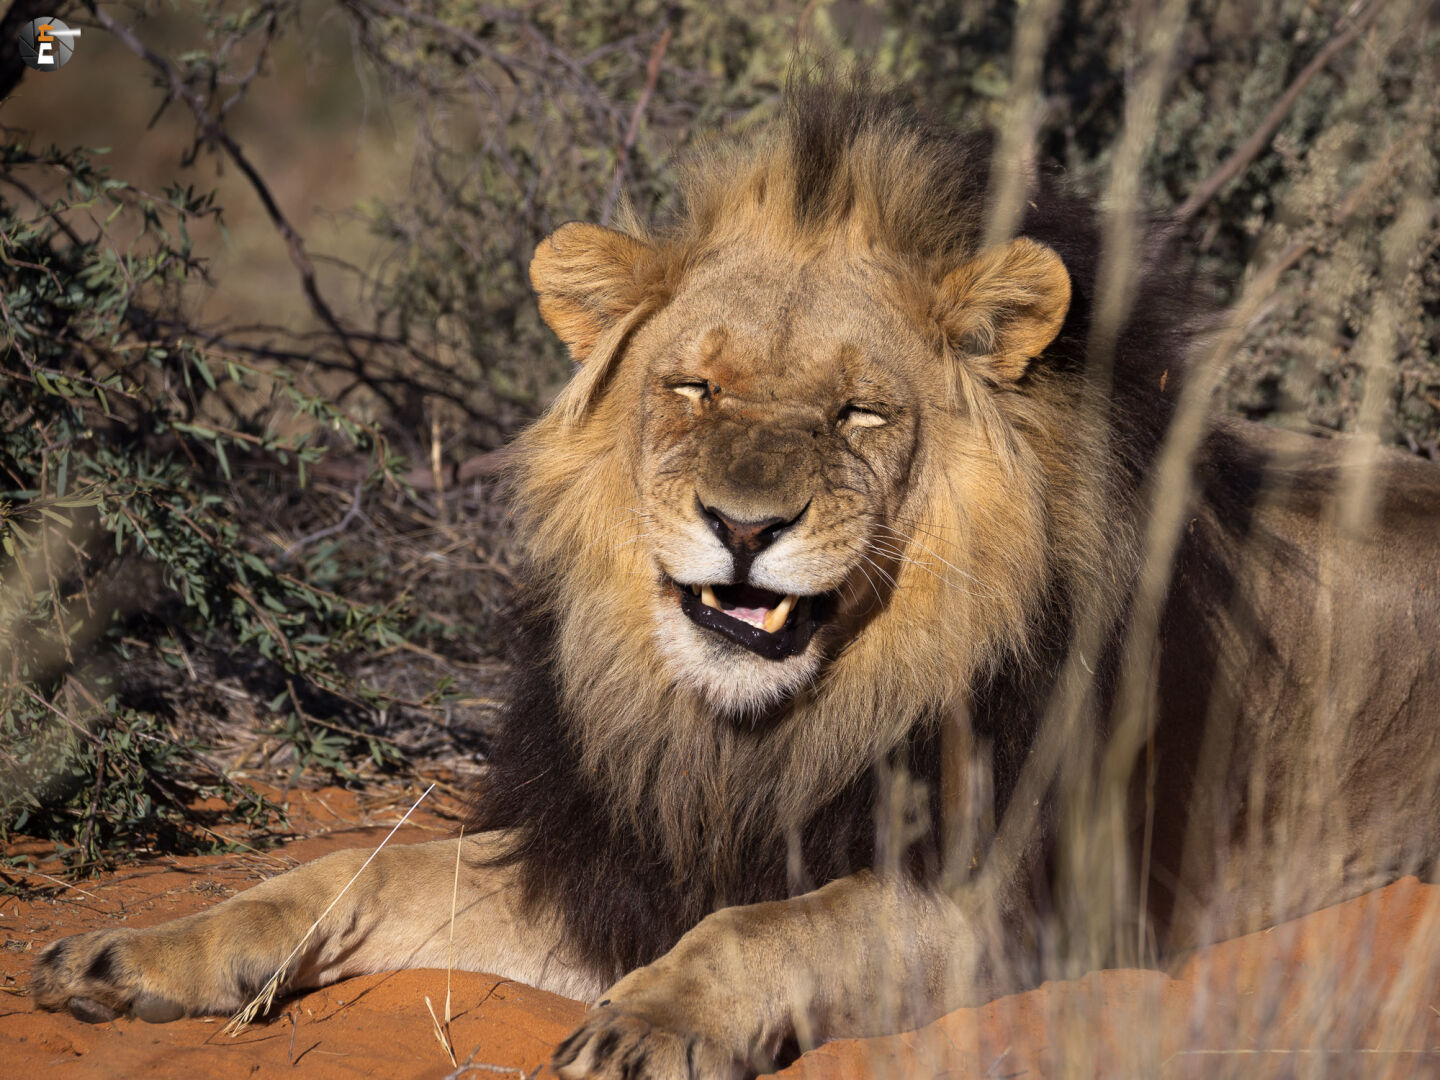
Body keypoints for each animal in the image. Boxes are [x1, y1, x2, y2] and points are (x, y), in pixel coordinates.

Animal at [31, 85, 1440, 1078]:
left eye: (860, 413)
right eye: (694, 388)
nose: (743, 526)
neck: (752, 737)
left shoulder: (1028, 902)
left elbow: (781, 923)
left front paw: (654, 1020)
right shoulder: (618, 861)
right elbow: (359, 875)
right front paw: (134, 955)